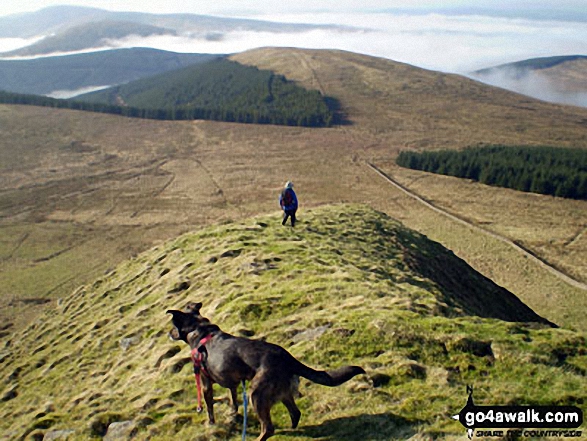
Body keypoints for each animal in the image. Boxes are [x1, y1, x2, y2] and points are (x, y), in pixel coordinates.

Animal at [168, 300, 366, 438]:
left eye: (172, 326)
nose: (169, 334)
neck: (198, 328)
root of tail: (286, 357)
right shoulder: (233, 381)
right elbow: (233, 397)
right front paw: (233, 411)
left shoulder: (205, 381)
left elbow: (209, 406)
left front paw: (211, 423)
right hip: (282, 391)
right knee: (295, 413)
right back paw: (292, 429)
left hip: (257, 394)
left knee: (269, 428)